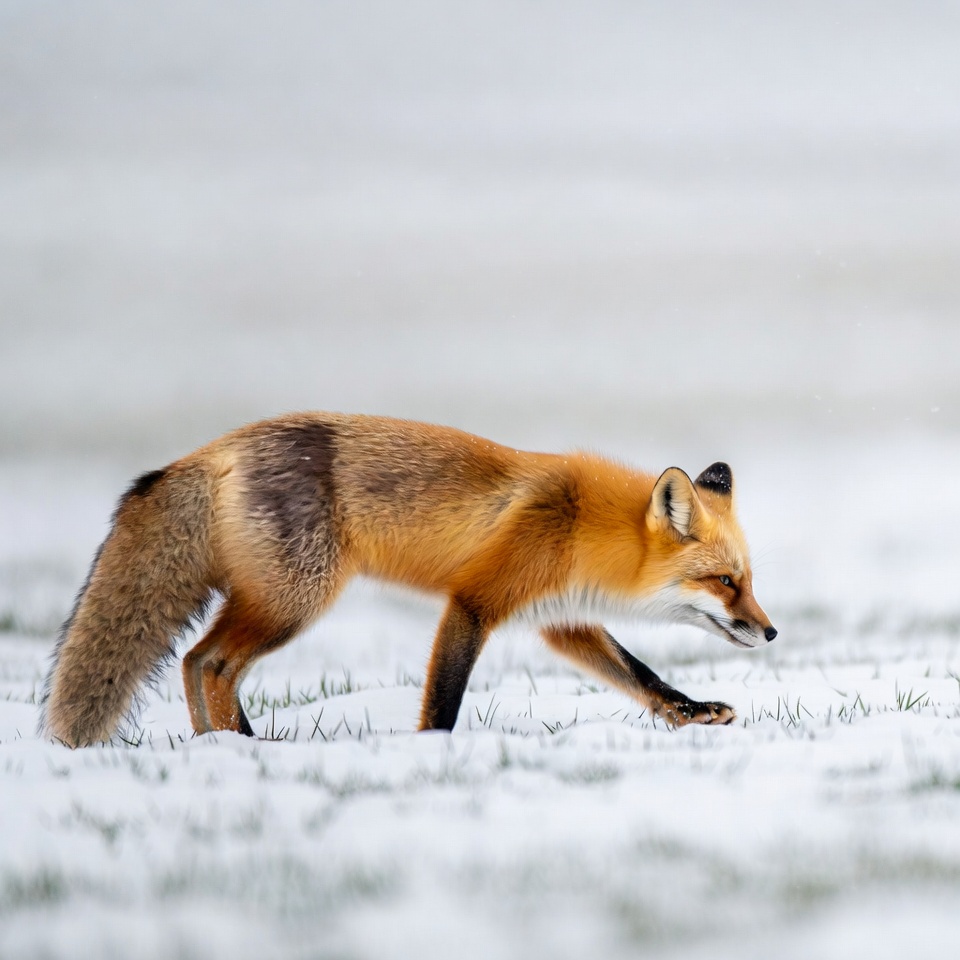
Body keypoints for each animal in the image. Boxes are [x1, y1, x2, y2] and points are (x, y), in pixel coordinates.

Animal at [40, 412, 776, 747]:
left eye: (746, 579)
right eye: (724, 581)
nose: (770, 632)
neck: (578, 524)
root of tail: (212, 449)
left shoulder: (561, 621)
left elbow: (640, 674)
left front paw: (691, 712)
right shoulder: (475, 602)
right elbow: (443, 701)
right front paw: (432, 756)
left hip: (273, 600)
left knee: (199, 664)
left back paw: (226, 749)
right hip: (295, 601)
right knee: (208, 663)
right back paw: (239, 750)